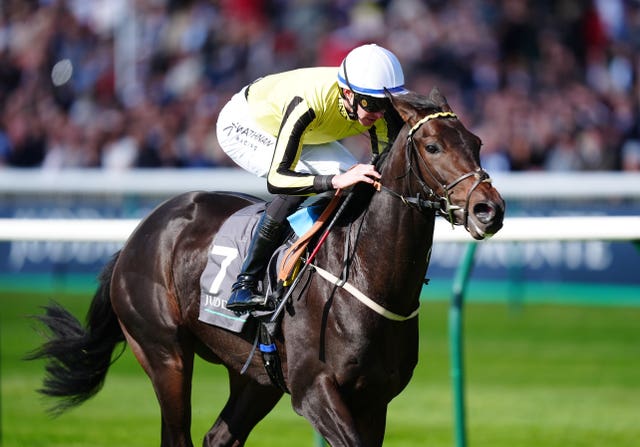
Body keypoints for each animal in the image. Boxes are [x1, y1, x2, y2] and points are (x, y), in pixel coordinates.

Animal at [28, 86, 504, 446]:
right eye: (432, 146)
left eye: (477, 143)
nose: (489, 209)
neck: (364, 276)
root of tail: (140, 233)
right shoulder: (314, 389)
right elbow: (282, 176)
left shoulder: (374, 400)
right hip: (164, 353)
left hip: (255, 376)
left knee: (218, 437)